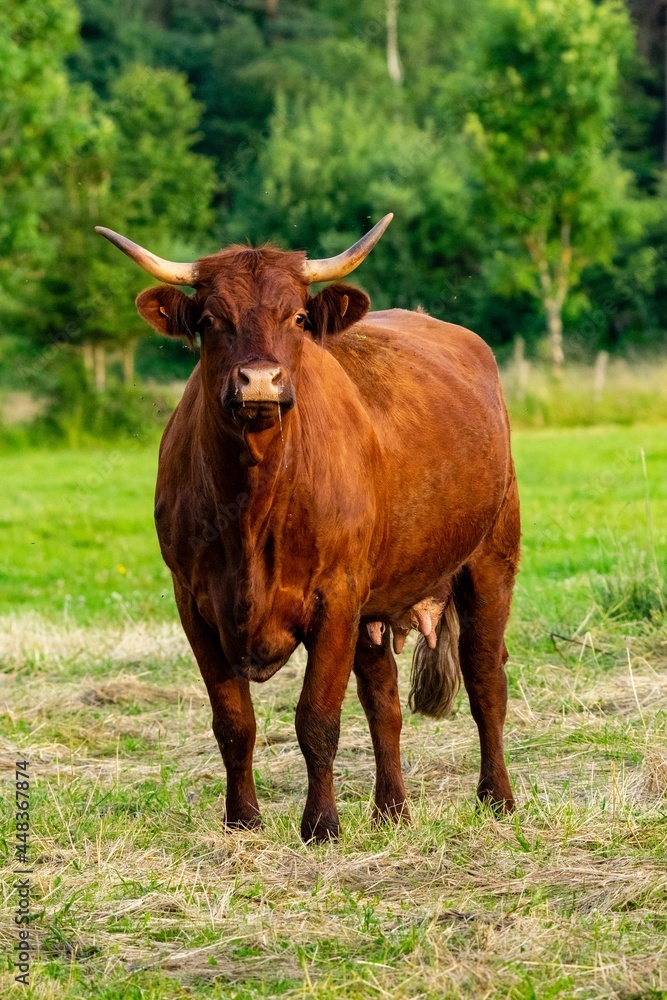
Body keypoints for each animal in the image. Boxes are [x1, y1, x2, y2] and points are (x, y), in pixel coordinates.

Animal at [95, 215, 520, 840]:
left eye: (296, 317)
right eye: (210, 320)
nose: (259, 382)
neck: (253, 501)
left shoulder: (336, 596)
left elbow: (317, 718)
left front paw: (321, 825)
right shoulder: (194, 601)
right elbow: (234, 721)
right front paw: (242, 820)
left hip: (490, 559)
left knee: (485, 679)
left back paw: (497, 799)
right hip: (375, 604)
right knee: (384, 702)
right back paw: (392, 810)